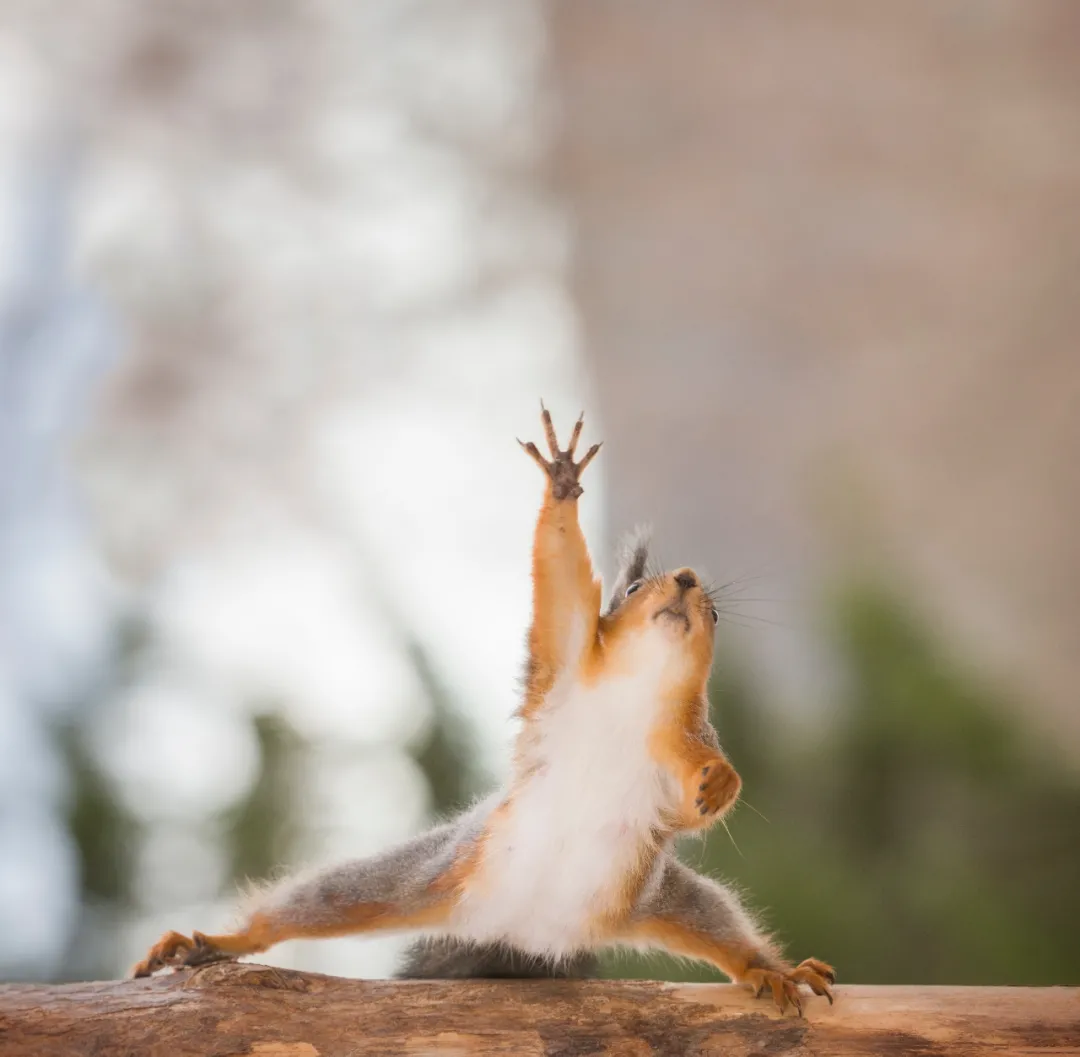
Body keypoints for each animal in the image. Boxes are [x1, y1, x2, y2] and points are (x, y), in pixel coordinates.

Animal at [128, 408, 833, 1014]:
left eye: (715, 614)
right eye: (634, 587)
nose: (686, 579)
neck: (636, 687)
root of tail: (524, 932)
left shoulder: (679, 735)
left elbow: (690, 801)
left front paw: (721, 783)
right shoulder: (563, 661)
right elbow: (562, 583)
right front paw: (563, 480)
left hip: (655, 896)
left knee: (721, 926)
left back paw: (770, 969)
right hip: (428, 874)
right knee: (316, 903)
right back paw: (215, 944)